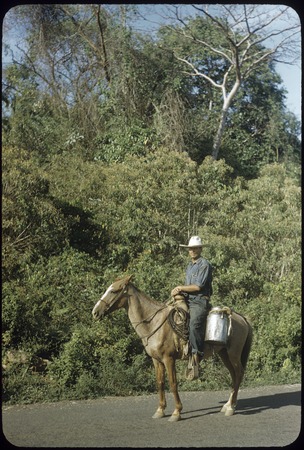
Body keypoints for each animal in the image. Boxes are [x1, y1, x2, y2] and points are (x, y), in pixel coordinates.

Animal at [91, 274, 253, 422]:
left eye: (113, 290)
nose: (95, 312)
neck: (154, 323)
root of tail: (242, 318)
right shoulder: (156, 360)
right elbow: (160, 383)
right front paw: (160, 410)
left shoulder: (168, 359)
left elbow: (173, 383)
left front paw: (176, 412)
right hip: (224, 354)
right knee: (234, 375)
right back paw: (227, 405)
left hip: (233, 354)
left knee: (238, 373)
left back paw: (231, 408)